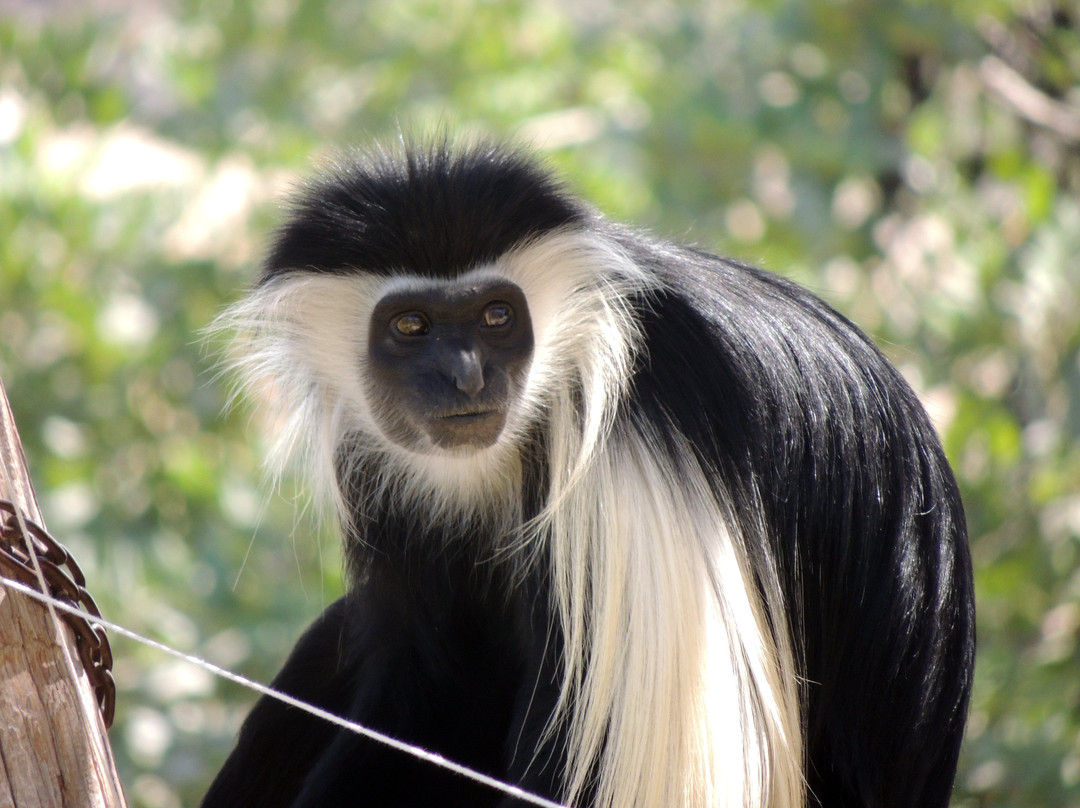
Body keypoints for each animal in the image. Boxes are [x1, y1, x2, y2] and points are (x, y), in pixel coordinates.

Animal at [202, 138, 975, 808]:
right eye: (411, 325)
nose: (465, 377)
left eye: (497, 315)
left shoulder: (633, 460)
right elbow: (423, 680)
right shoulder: (382, 469)